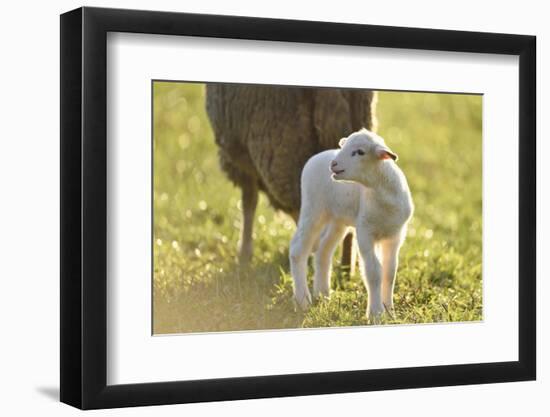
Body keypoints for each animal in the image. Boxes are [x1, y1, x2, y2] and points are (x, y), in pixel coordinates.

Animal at [288, 128, 414, 316]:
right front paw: (375, 313)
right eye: (344, 146)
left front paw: (390, 311)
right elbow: (374, 272)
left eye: (360, 152)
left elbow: (390, 272)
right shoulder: (365, 231)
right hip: (314, 209)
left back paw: (323, 294)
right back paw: (303, 301)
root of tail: (317, 156)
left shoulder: (395, 235)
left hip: (337, 220)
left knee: (323, 251)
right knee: (298, 250)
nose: (333, 164)